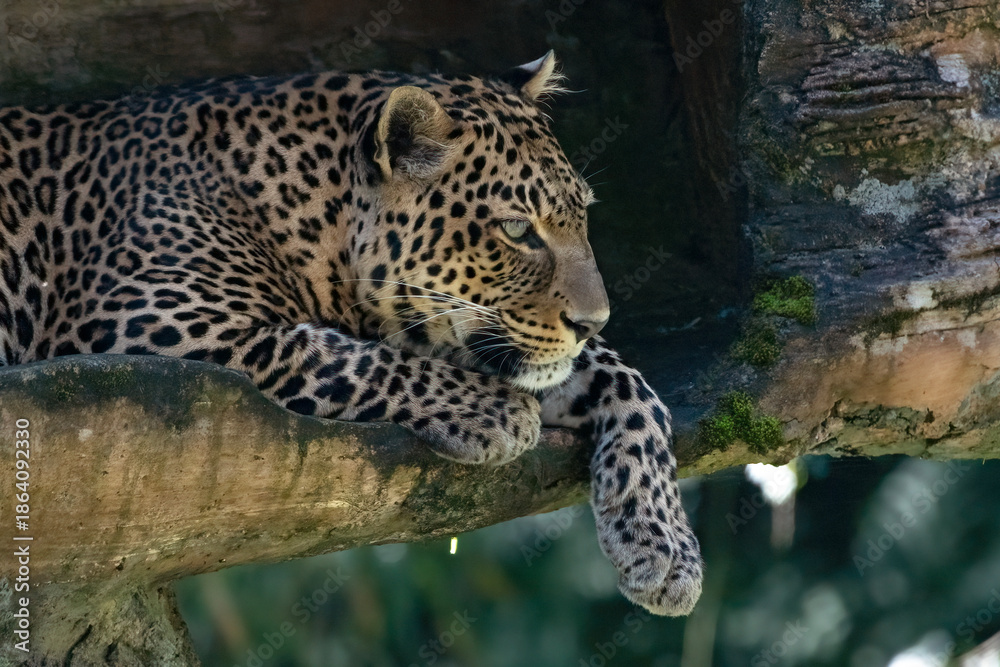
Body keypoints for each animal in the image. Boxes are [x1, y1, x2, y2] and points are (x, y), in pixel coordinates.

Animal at [0, 52, 703, 615]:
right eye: (515, 230)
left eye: (581, 215)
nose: (594, 321)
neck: (305, 210)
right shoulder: (145, 322)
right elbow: (329, 351)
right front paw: (493, 410)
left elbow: (631, 385)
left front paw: (666, 549)